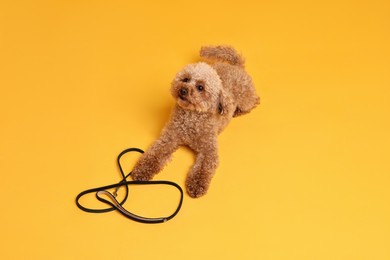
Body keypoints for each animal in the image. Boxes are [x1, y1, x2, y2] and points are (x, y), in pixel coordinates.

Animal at [132, 46, 262, 197]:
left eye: (200, 87)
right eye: (186, 79)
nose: (182, 90)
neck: (191, 117)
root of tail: (236, 66)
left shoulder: (209, 150)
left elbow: (203, 168)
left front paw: (197, 184)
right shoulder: (169, 138)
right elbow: (154, 153)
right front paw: (142, 170)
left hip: (246, 98)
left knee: (254, 101)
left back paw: (238, 111)